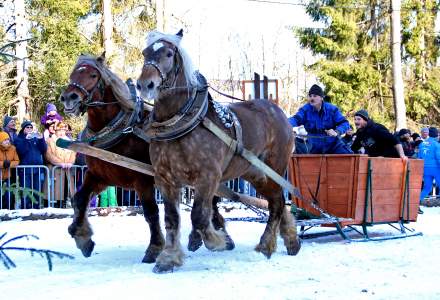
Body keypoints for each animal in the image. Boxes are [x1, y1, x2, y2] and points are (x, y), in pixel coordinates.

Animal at [138, 31, 300, 274]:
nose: (144, 84)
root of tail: (280, 112)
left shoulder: (208, 177)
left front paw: (219, 241)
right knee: (277, 201)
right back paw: (290, 240)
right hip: (256, 174)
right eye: (145, 53)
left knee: (277, 204)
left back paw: (265, 245)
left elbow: (199, 216)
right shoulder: (164, 178)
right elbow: (172, 218)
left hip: (274, 168)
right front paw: (168, 259)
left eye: (168, 54)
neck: (183, 122)